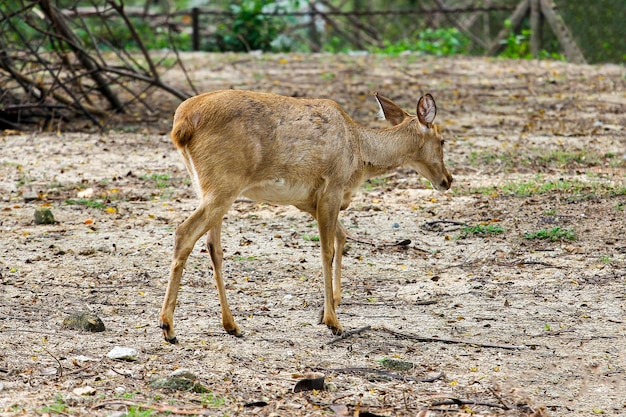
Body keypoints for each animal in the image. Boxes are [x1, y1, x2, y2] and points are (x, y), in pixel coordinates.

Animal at [156, 89, 448, 342]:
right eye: (443, 140)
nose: (447, 180)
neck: (360, 157)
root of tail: (181, 126)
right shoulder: (332, 189)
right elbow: (326, 250)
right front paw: (333, 321)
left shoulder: (307, 200)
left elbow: (342, 237)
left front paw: (328, 308)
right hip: (223, 183)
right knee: (184, 233)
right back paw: (168, 327)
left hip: (206, 186)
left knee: (213, 246)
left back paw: (231, 325)